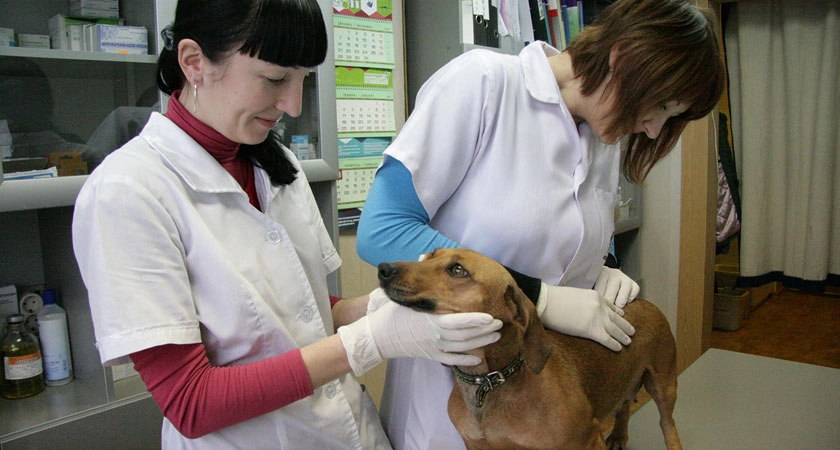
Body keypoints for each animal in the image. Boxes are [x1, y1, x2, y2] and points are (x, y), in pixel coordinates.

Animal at [378, 248, 680, 448]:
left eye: (457, 270)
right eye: (429, 256)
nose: (383, 268)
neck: (491, 381)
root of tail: (641, 301)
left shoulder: (588, 439)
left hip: (664, 385)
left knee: (667, 423)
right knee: (624, 405)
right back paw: (619, 435)